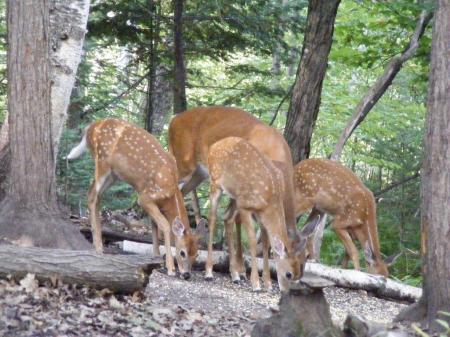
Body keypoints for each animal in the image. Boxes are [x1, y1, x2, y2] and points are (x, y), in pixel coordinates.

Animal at [66, 119, 199, 278]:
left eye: (196, 255)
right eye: (182, 252)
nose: (187, 275)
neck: (170, 194)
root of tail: (90, 128)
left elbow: (154, 227)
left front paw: (156, 257)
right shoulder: (145, 197)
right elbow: (165, 226)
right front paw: (170, 268)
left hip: (113, 175)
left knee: (96, 196)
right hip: (102, 161)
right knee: (92, 195)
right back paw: (98, 247)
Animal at [166, 107, 302, 278]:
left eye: (304, 259)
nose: (295, 277)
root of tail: (172, 121)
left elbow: (232, 219)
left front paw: (237, 271)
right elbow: (236, 219)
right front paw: (240, 270)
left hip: (199, 173)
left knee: (180, 192)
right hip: (182, 161)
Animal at [206, 138, 322, 290]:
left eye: (306, 257)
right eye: (289, 274)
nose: (286, 292)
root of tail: (215, 145)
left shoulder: (261, 214)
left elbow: (267, 243)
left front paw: (267, 283)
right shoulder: (245, 205)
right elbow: (253, 240)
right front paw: (256, 283)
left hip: (233, 196)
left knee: (226, 217)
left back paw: (235, 275)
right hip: (215, 182)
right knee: (213, 219)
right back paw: (209, 272)